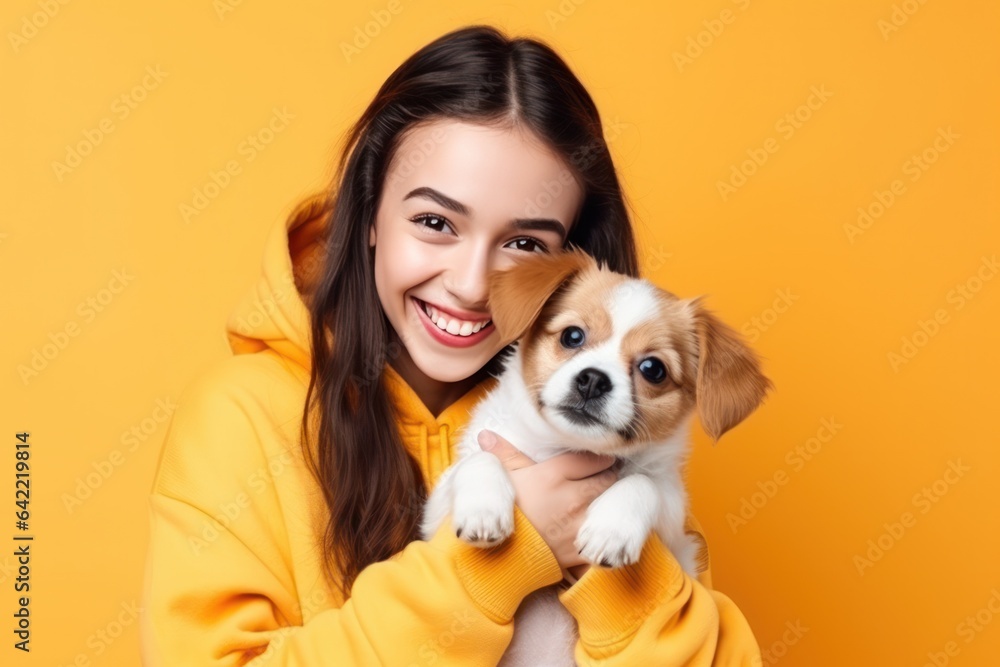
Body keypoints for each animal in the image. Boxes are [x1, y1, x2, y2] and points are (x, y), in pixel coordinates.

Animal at [418, 249, 768, 667]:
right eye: (573, 336)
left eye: (653, 369)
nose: (593, 379)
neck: (564, 447)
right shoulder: (436, 509)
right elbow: (479, 461)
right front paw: (483, 509)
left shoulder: (674, 528)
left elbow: (643, 482)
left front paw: (612, 528)